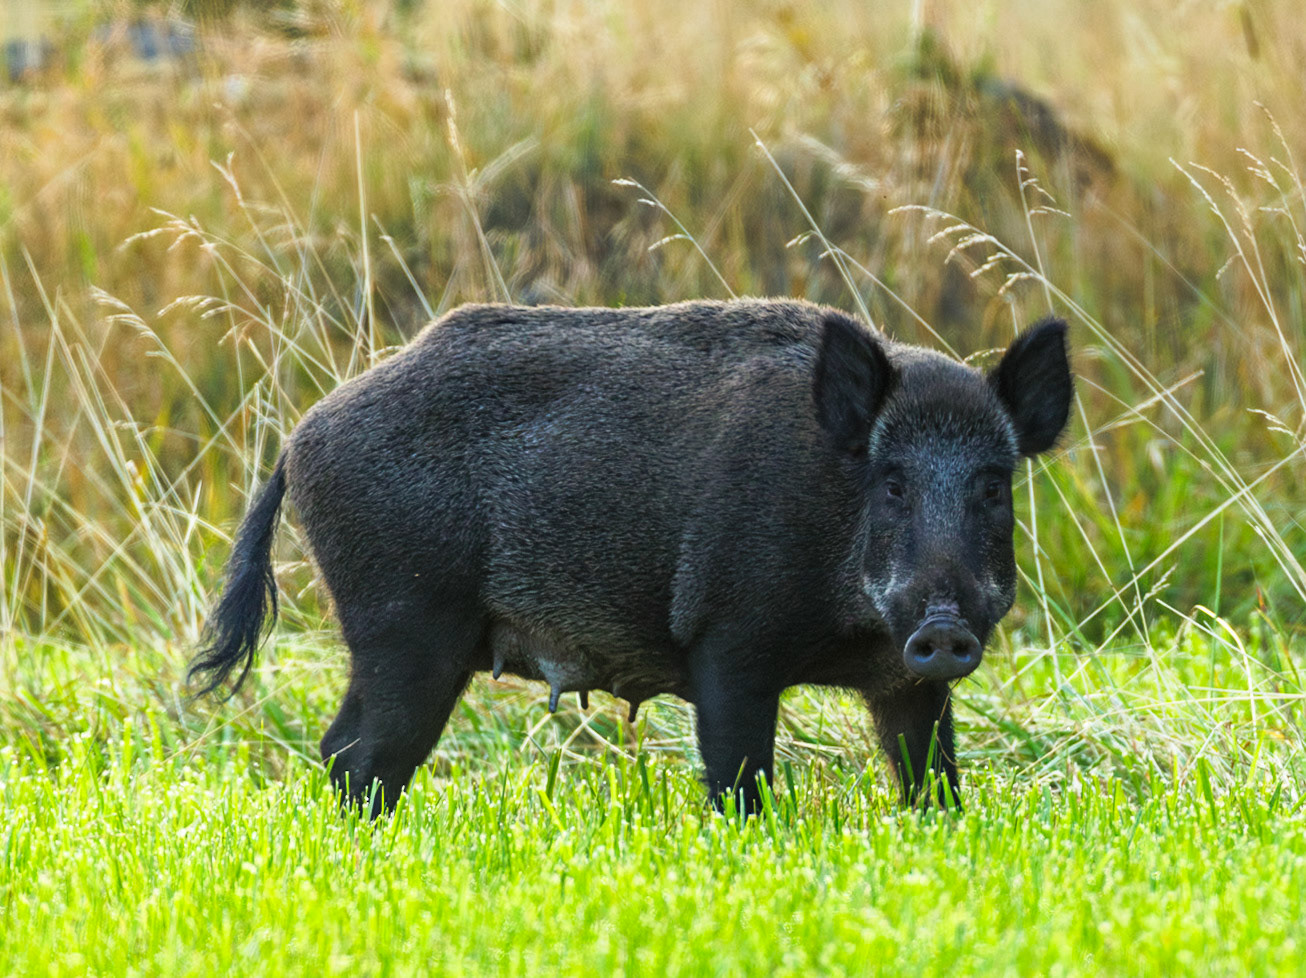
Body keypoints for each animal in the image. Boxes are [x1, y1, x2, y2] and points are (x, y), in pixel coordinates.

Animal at [190, 299, 1072, 816]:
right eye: (891, 483)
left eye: (994, 485)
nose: (945, 628)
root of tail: (300, 436)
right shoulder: (727, 642)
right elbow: (739, 779)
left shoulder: (906, 684)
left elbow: (933, 783)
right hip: (404, 620)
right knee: (360, 753)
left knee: (348, 750)